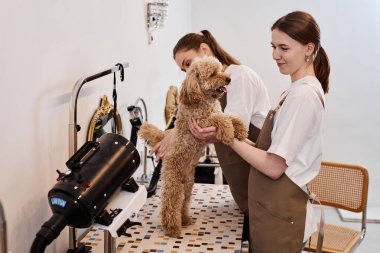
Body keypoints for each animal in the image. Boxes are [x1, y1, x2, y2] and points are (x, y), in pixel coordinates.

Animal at [138, 55, 248, 237]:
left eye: (221, 70)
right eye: (212, 74)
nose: (229, 79)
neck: (204, 99)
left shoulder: (216, 112)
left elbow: (231, 116)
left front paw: (240, 129)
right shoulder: (201, 121)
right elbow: (221, 119)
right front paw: (227, 132)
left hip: (188, 183)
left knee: (183, 202)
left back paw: (185, 219)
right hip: (173, 180)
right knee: (170, 203)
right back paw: (173, 228)